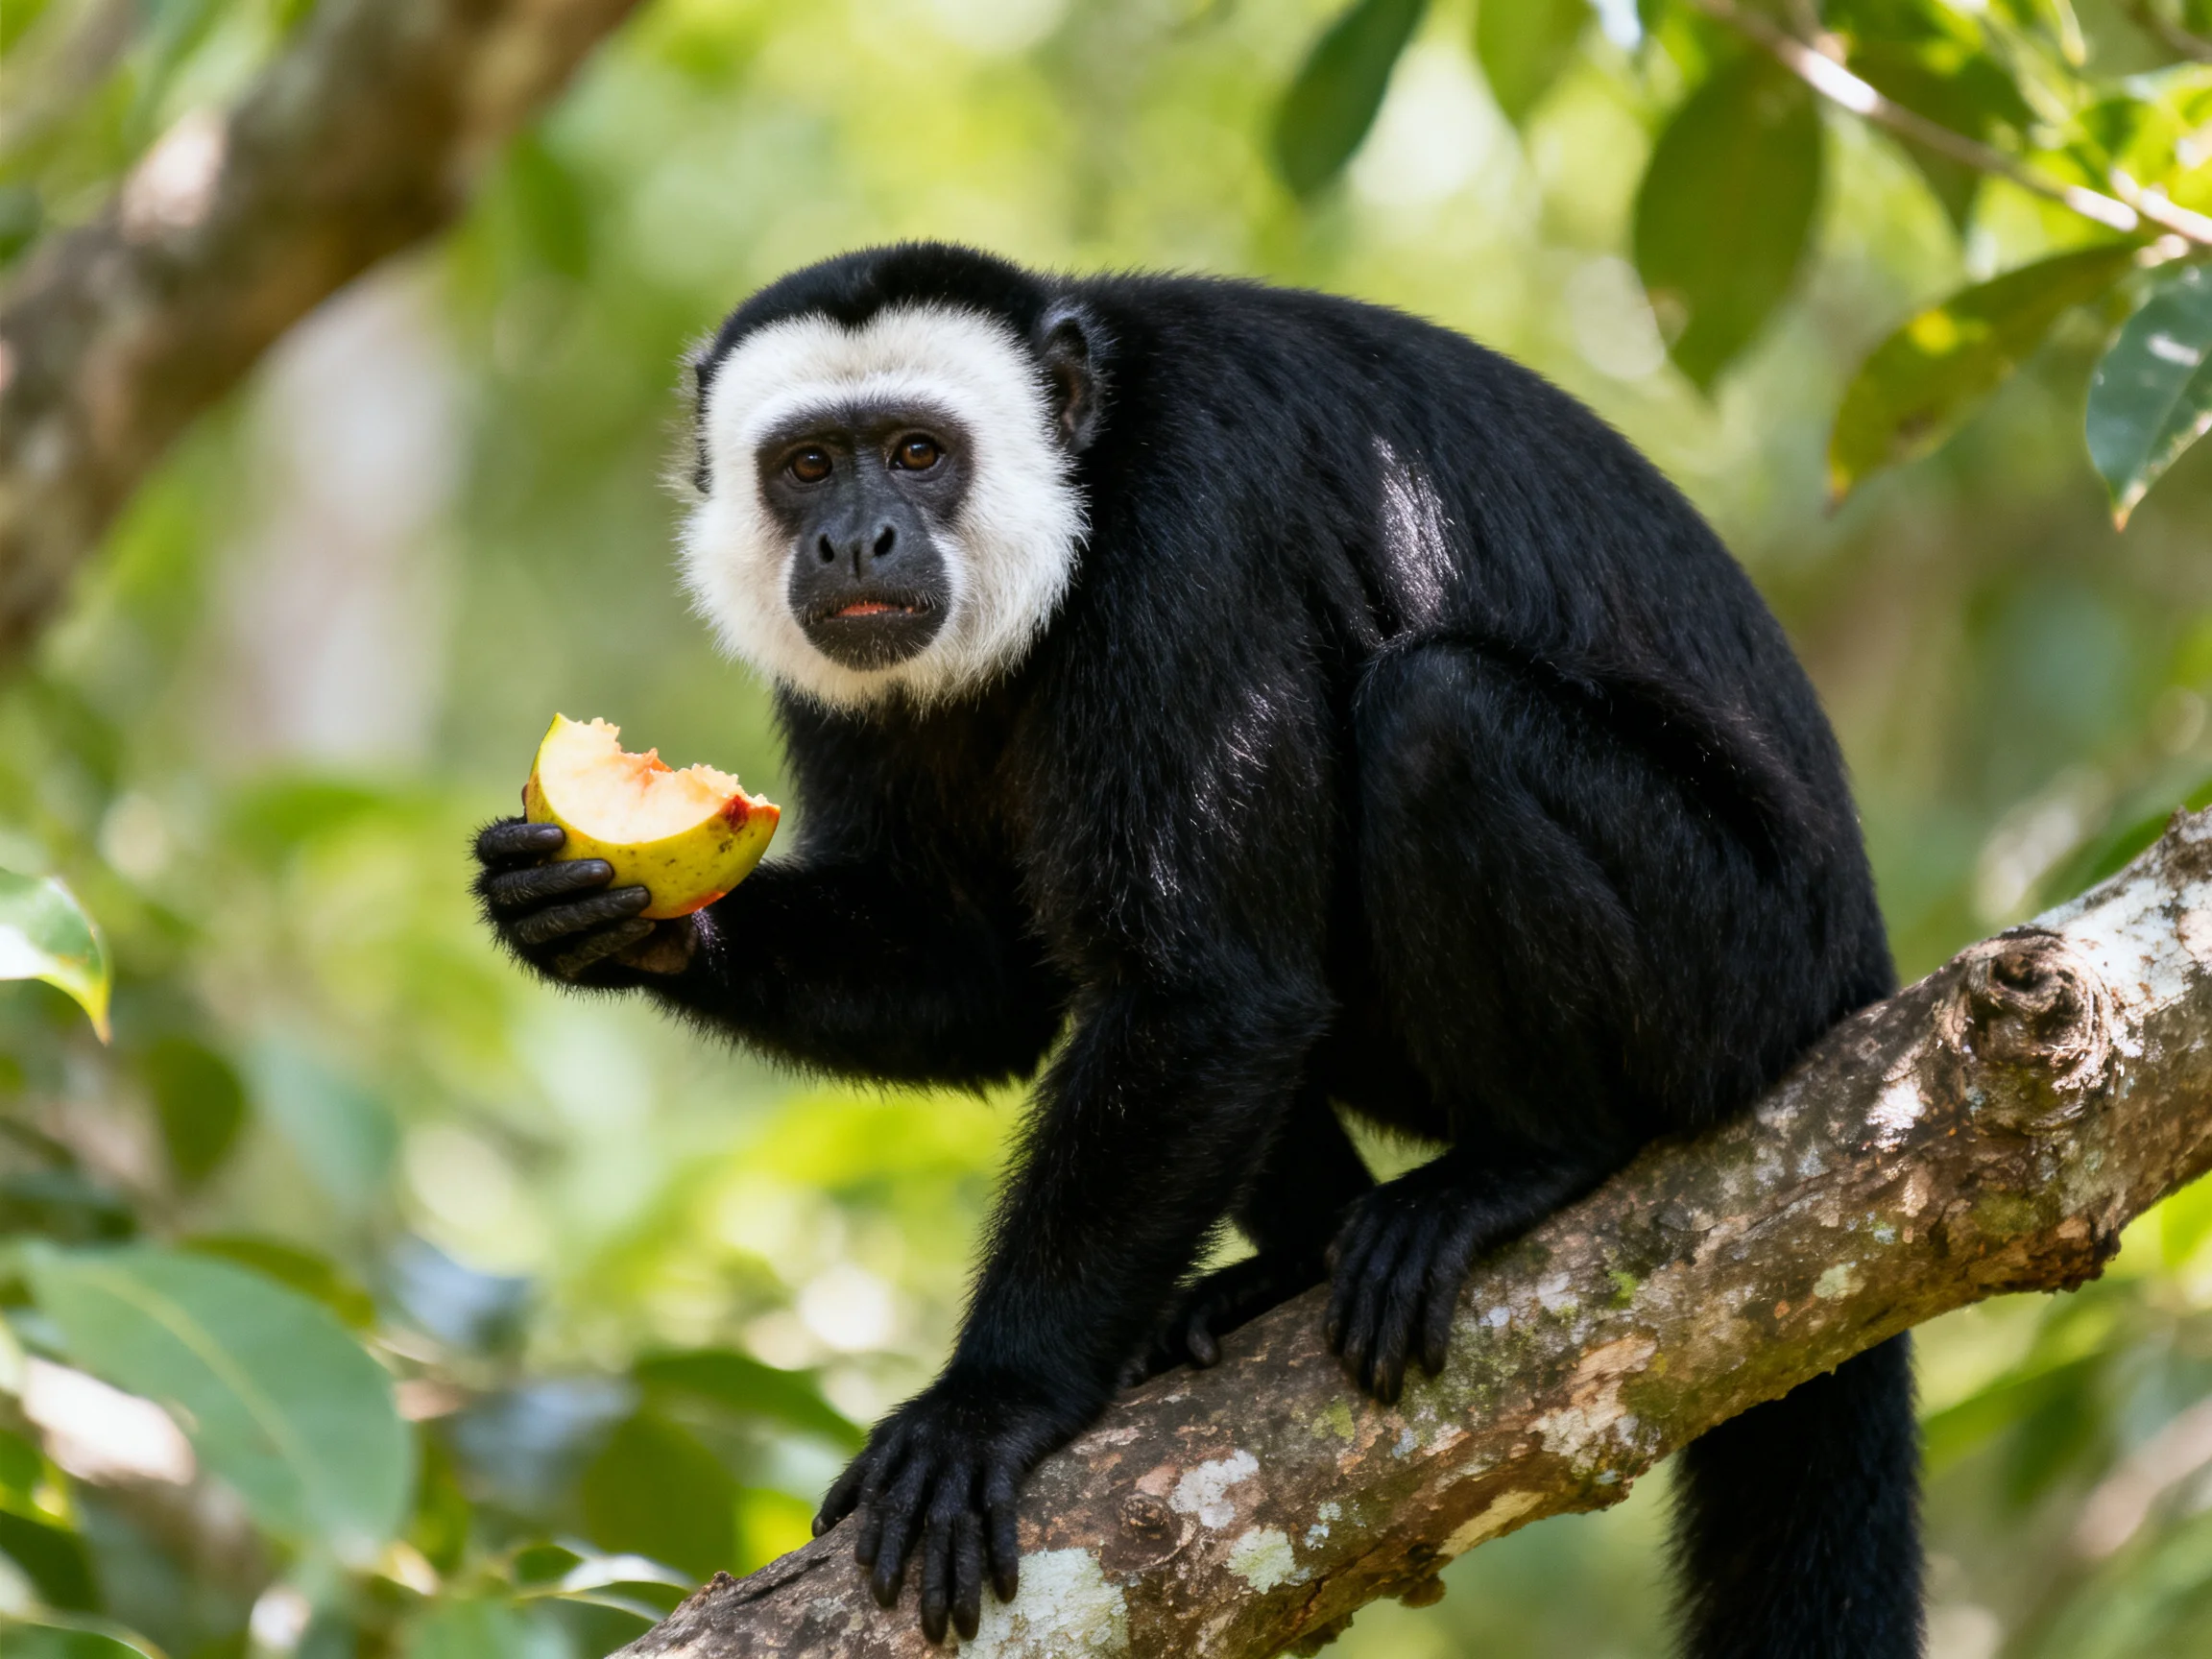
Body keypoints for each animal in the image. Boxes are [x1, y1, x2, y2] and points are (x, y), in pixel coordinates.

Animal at [474, 242, 1921, 1656]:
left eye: (919, 454)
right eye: (812, 466)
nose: (854, 538)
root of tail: (1850, 964)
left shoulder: (1191, 528)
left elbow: (1209, 991)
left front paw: (991, 1404)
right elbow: (982, 984)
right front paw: (606, 921)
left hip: (1735, 969)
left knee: (1436, 719)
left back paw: (1532, 1162)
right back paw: (1295, 1260)